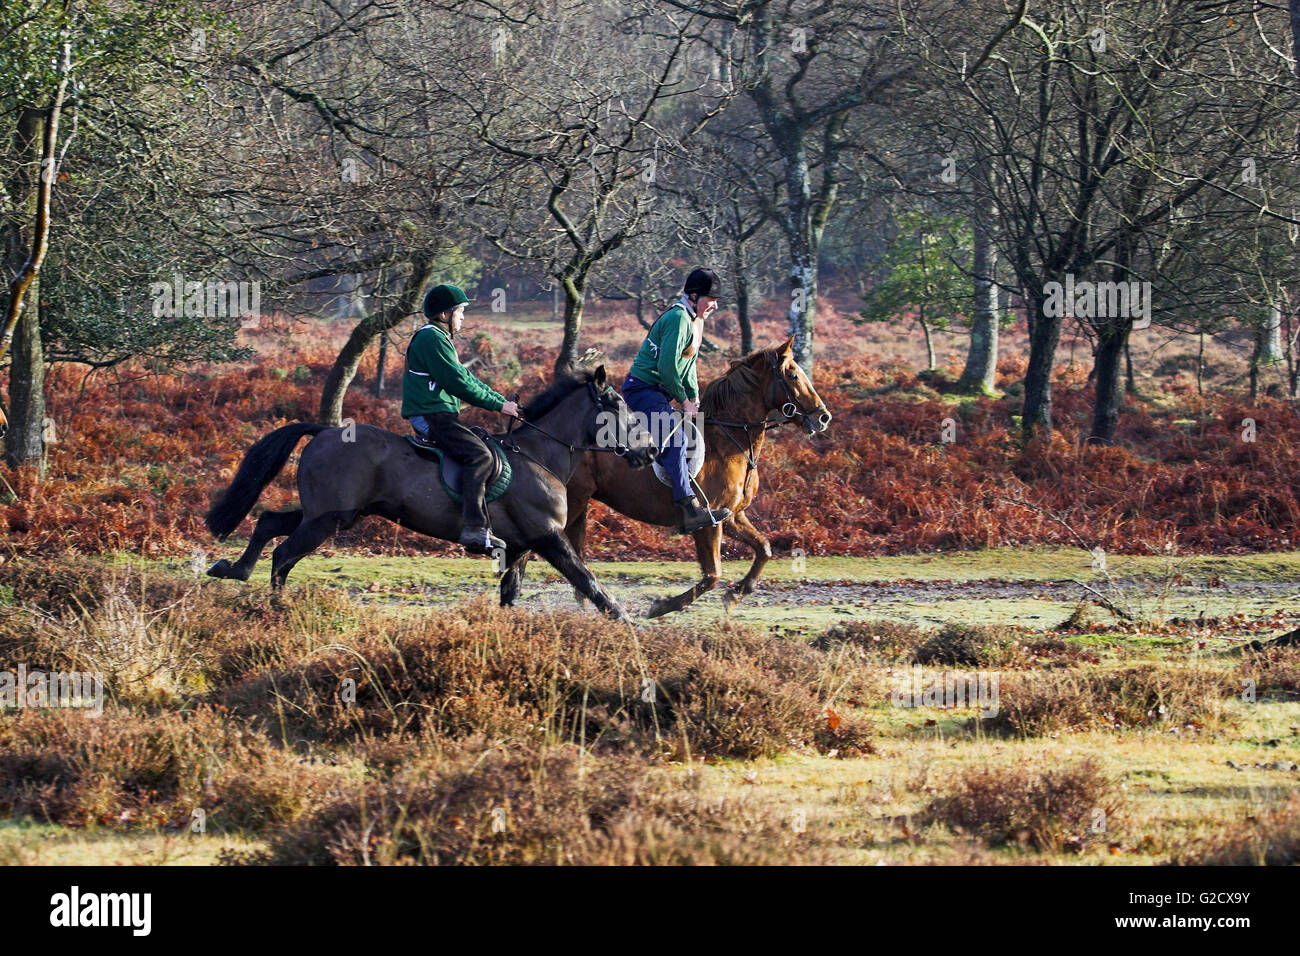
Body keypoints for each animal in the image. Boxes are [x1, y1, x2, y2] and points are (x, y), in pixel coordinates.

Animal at [499, 340, 832, 616]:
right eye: (792, 375)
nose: (823, 417)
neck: (728, 440)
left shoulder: (732, 516)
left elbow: (764, 548)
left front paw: (737, 594)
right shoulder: (708, 523)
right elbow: (713, 575)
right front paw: (661, 607)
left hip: (579, 504)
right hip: (572, 503)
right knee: (539, 550)